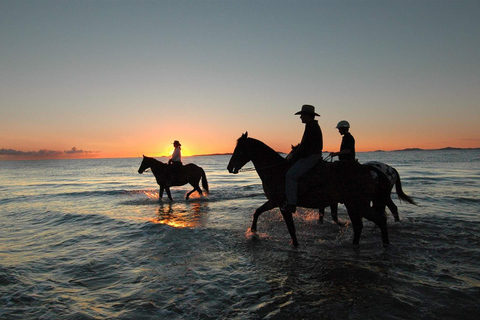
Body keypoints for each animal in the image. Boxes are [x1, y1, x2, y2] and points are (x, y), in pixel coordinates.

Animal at [228, 132, 390, 248]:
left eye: (239, 149)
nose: (229, 167)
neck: (276, 171)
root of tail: (367, 169)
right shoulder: (274, 202)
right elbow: (257, 212)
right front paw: (253, 232)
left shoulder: (283, 206)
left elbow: (291, 228)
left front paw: (295, 245)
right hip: (354, 205)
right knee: (359, 226)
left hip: (358, 204)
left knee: (378, 220)